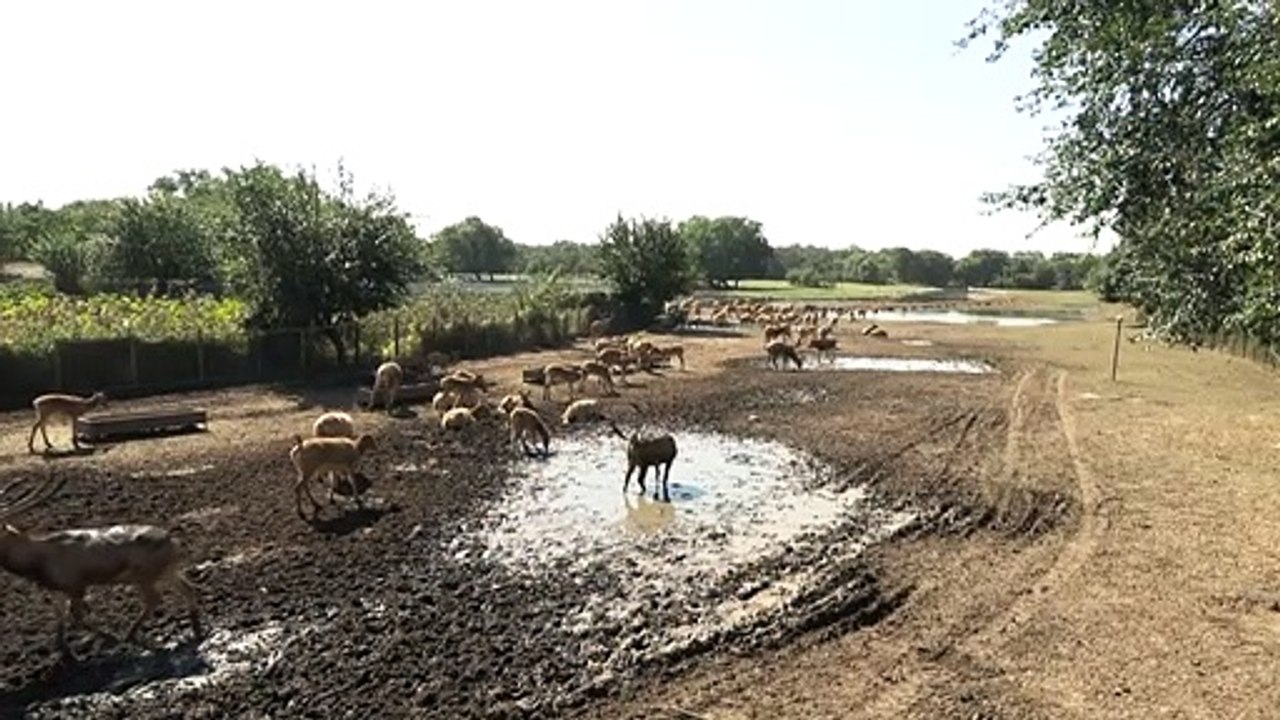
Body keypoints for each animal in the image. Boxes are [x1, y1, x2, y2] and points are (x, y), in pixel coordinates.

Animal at [0, 473, 204, 662]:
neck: (37, 561)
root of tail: (173, 541)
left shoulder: (77, 586)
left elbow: (77, 617)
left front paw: (108, 639)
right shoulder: (55, 589)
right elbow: (60, 618)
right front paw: (65, 652)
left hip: (145, 576)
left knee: (154, 598)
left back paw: (130, 635)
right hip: (167, 571)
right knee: (188, 588)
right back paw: (196, 630)